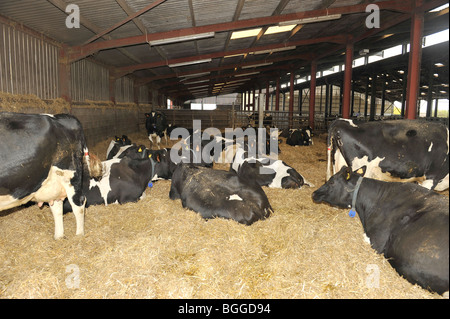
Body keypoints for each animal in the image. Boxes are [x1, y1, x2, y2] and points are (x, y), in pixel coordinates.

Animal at [0, 112, 101, 240]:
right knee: (57, 207)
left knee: (78, 203)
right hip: (55, 181)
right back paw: (59, 238)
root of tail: (61, 117)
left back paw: (79, 236)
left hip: (70, 175)